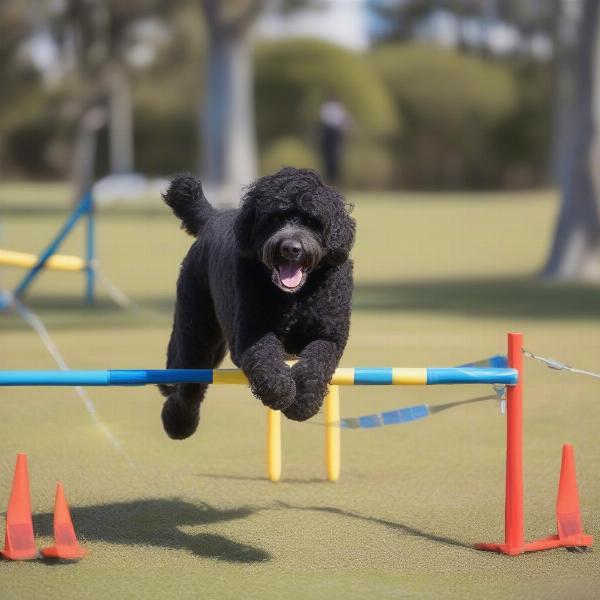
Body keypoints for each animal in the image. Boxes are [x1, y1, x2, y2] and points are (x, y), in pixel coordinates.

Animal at [159, 166, 356, 438]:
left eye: (311, 220)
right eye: (274, 218)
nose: (291, 248)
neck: (295, 299)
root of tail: (212, 218)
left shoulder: (330, 336)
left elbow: (316, 364)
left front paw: (303, 402)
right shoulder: (250, 334)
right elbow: (266, 360)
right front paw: (281, 390)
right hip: (196, 329)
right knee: (187, 380)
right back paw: (178, 421)